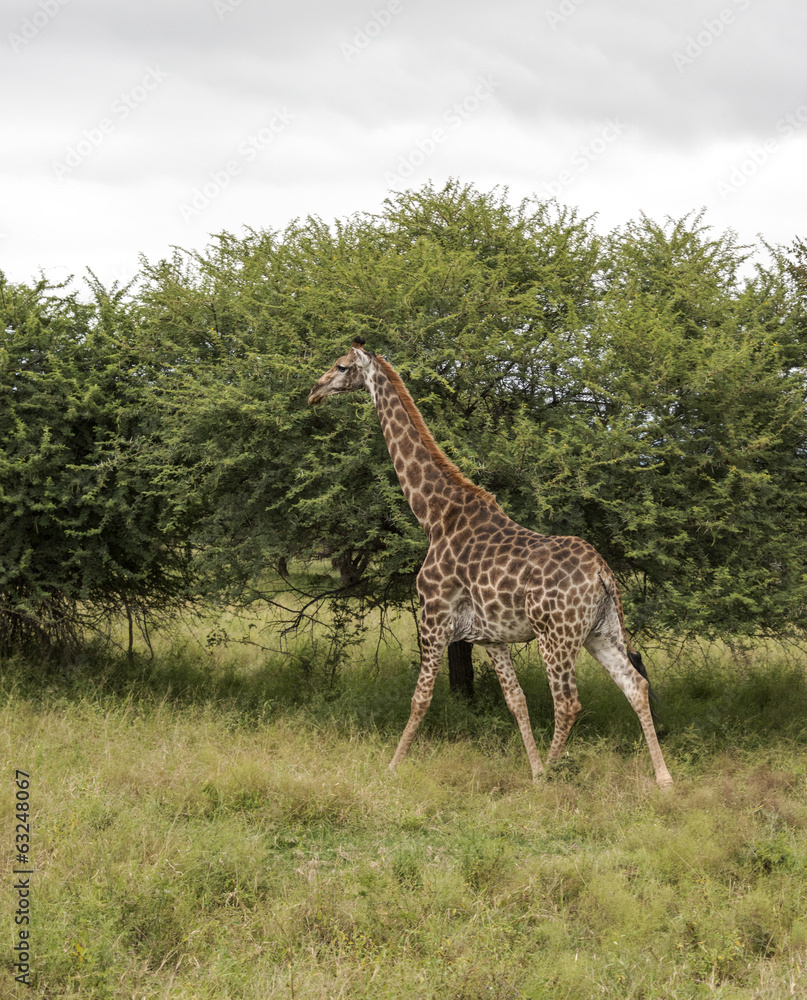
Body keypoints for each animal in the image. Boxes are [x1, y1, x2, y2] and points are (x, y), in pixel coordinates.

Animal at [308, 339, 673, 788]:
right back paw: (662, 778)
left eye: (341, 366)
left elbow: (421, 698)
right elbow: (516, 701)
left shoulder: (434, 617)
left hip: (556, 635)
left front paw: (391, 767)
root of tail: (603, 574)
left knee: (569, 703)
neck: (435, 516)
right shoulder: (490, 637)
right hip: (600, 631)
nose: (314, 391)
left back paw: (552, 776)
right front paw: (533, 769)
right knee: (635, 685)